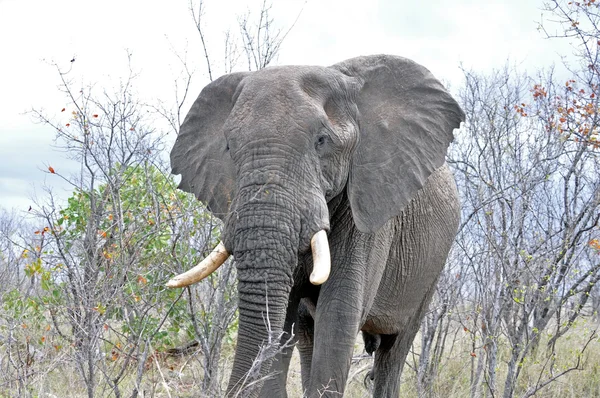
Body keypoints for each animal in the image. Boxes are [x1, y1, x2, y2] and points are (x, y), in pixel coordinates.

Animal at [168, 54, 464, 396]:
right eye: (229, 147)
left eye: (321, 141)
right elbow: (286, 321)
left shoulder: (367, 213)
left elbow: (337, 316)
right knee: (307, 336)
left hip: (432, 267)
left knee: (394, 351)